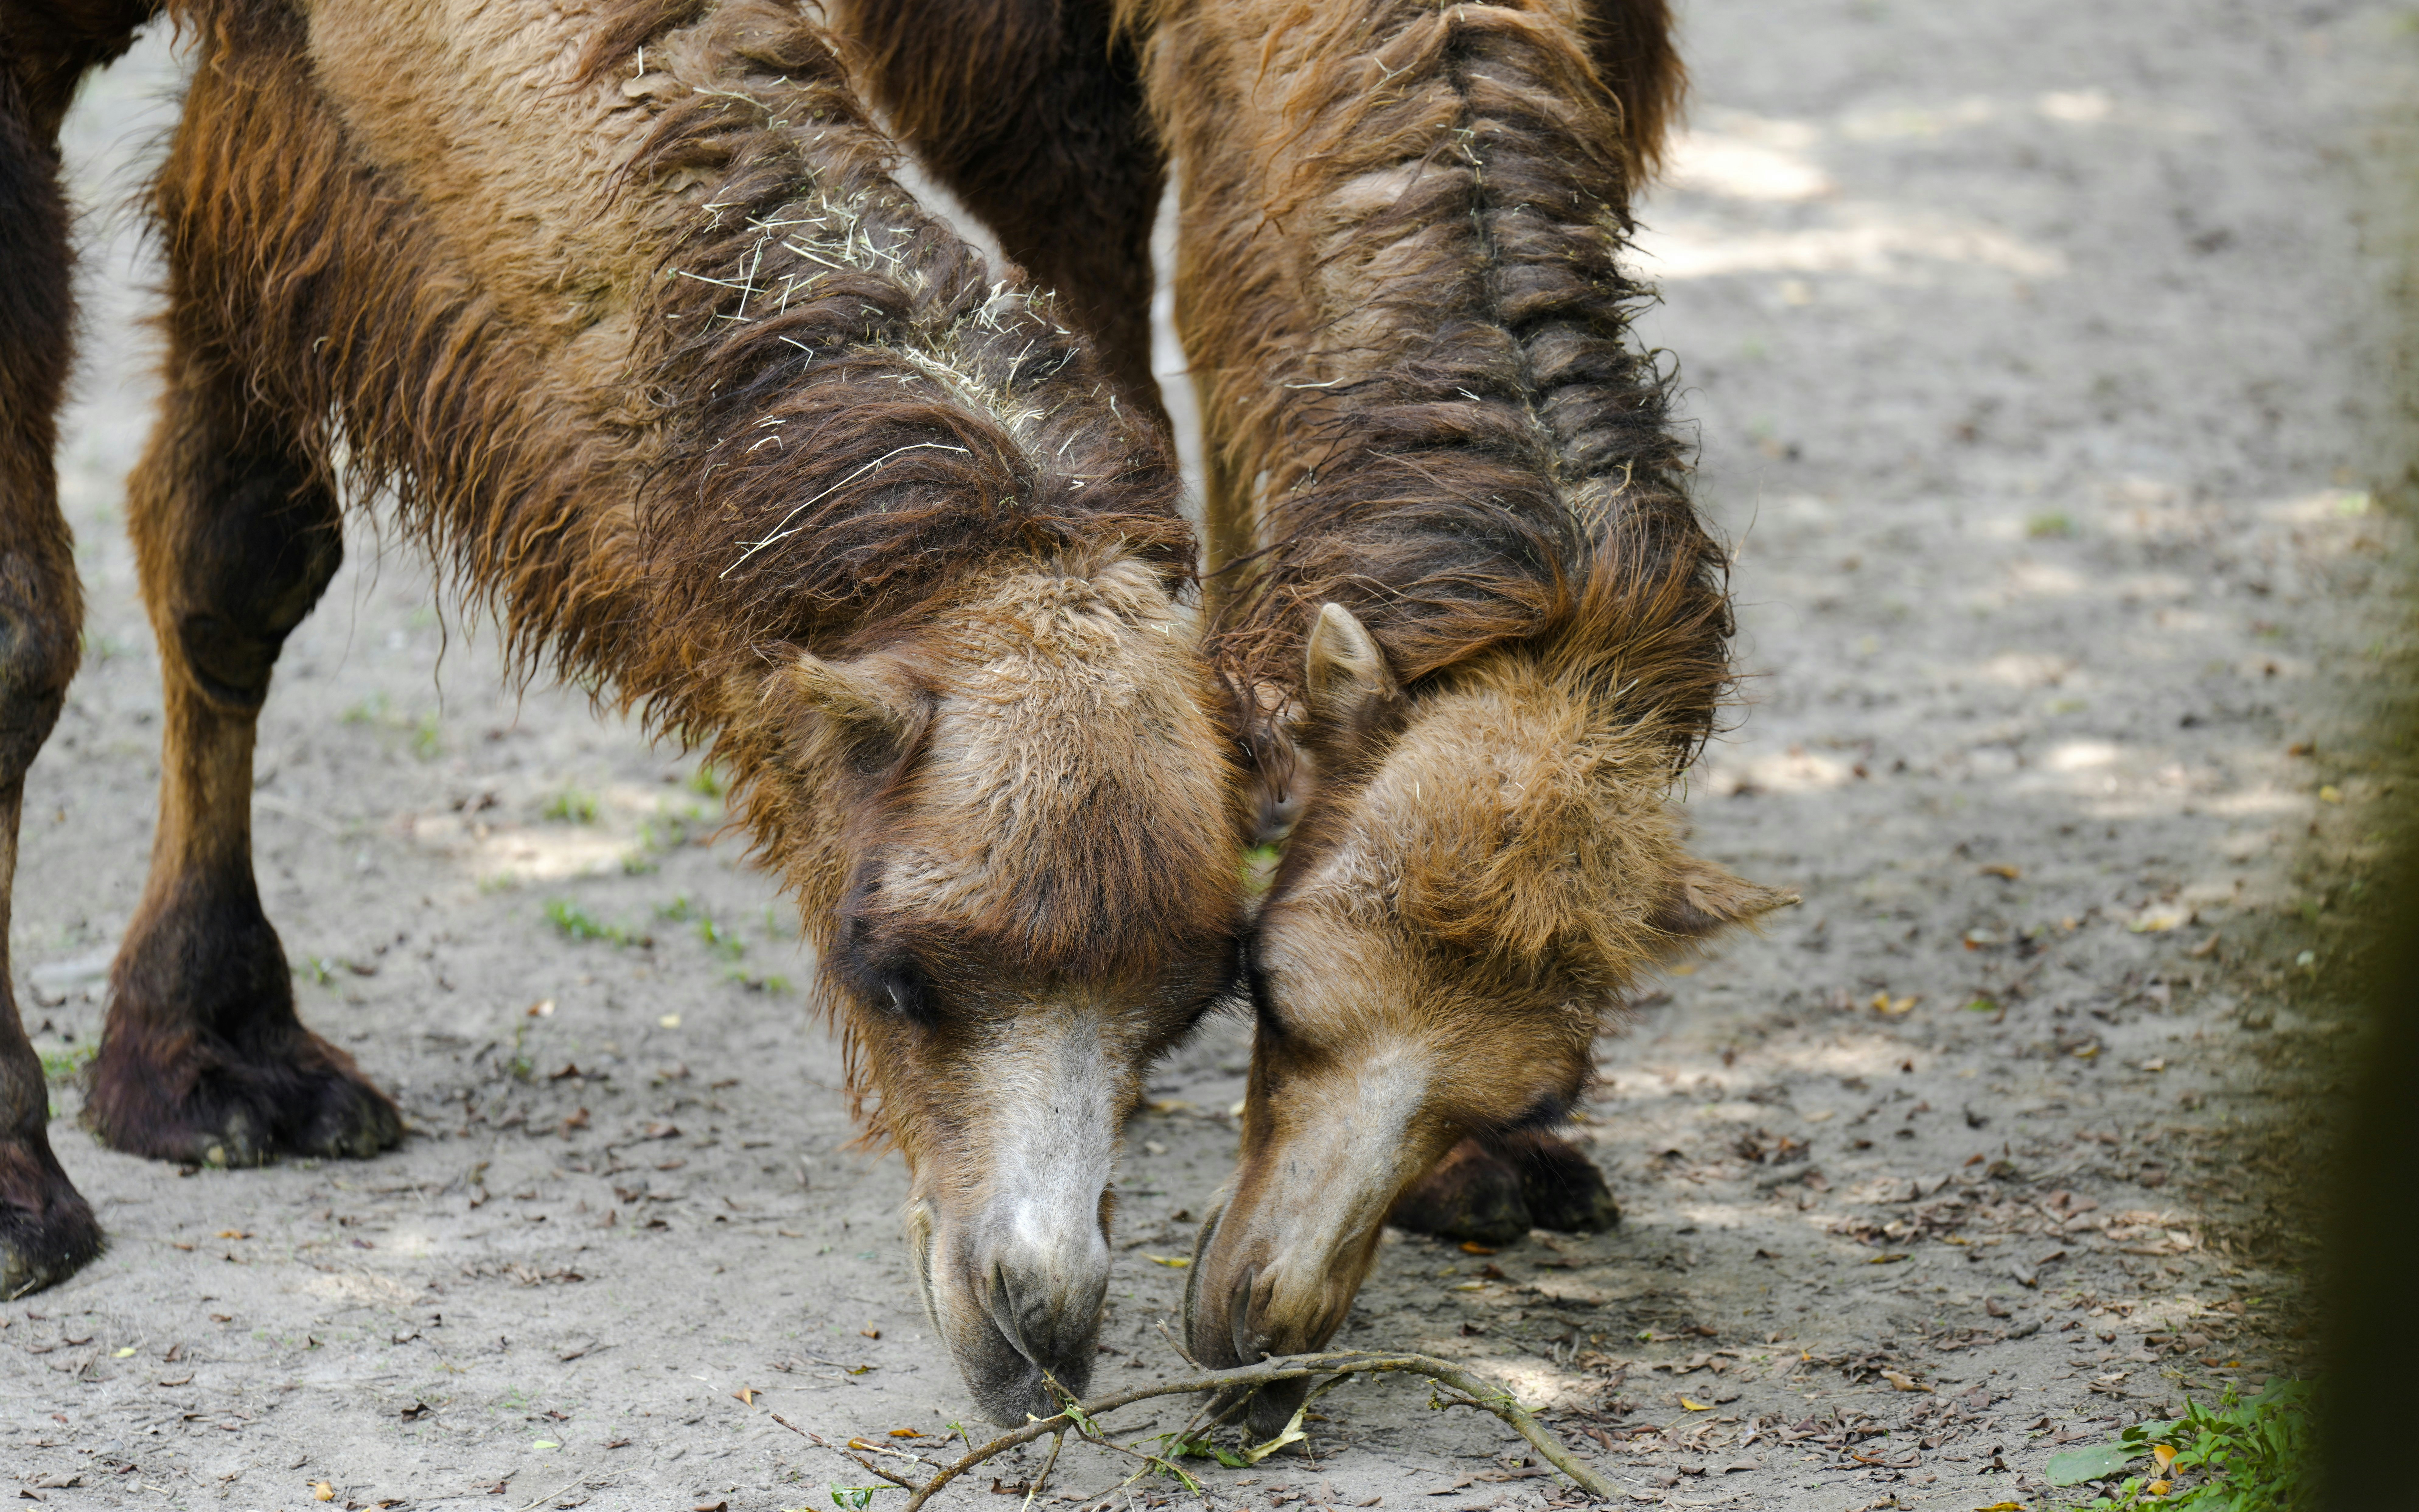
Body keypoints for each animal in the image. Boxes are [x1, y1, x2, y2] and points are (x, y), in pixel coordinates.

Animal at [0, 0, 1254, 1424]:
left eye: (1186, 1005)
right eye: (893, 973)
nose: (1043, 1321)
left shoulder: (276, 88)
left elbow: (235, 561)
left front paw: (212, 1059)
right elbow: (25, 635)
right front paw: (21, 1189)